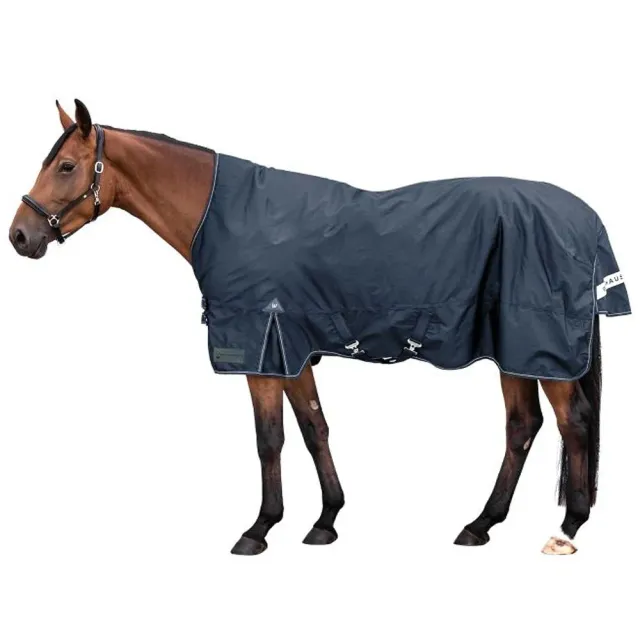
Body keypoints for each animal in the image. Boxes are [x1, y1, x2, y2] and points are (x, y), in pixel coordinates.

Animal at [9, 100, 630, 556]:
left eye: (66, 166)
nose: (19, 236)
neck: (225, 215)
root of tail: (585, 217)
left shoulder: (260, 352)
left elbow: (270, 439)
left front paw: (259, 529)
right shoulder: (293, 352)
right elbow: (314, 429)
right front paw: (326, 520)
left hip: (539, 345)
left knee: (573, 422)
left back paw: (566, 529)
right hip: (515, 349)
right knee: (522, 427)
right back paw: (480, 525)